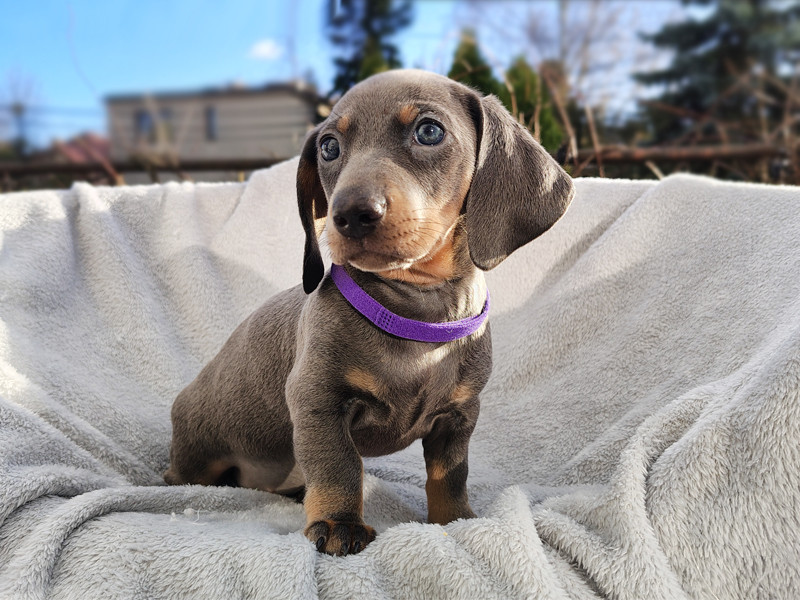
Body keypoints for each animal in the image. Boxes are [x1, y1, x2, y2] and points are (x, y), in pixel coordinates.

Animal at [164, 69, 574, 556]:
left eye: (429, 131)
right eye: (328, 147)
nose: (350, 214)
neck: (414, 312)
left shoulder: (459, 415)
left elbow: (451, 475)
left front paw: (455, 520)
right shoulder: (318, 401)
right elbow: (340, 466)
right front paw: (339, 522)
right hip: (197, 452)